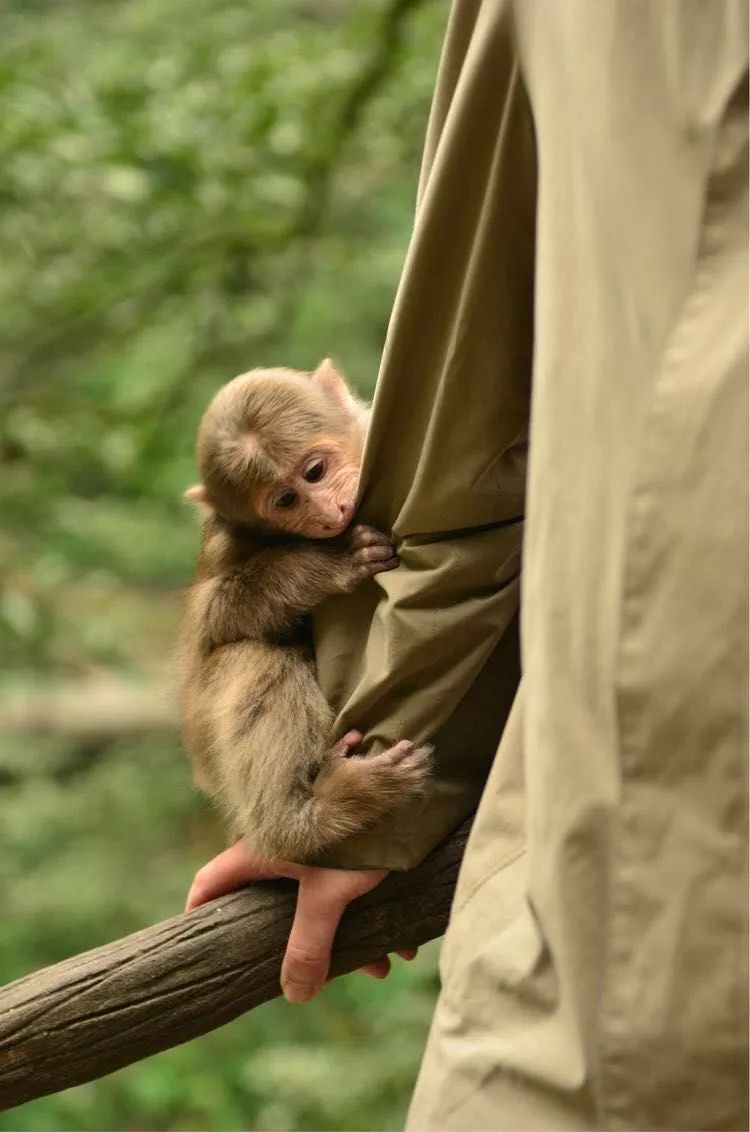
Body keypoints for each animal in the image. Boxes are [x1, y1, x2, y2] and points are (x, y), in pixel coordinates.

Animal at [178, 357, 432, 860]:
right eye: (286, 500)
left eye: (314, 471)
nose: (328, 512)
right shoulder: (224, 543)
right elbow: (211, 622)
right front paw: (325, 565)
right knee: (256, 655)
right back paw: (305, 821)